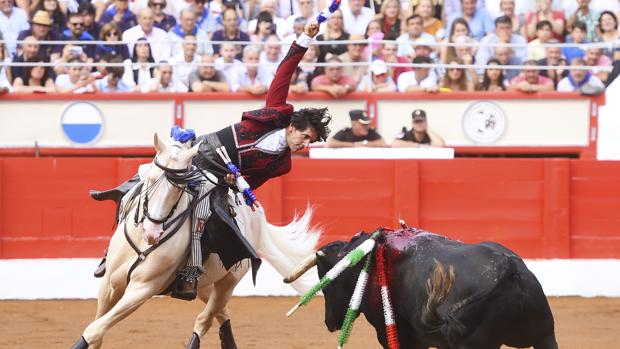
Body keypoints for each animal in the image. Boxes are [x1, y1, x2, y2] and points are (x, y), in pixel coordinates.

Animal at [70, 134, 318, 348]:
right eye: (150, 178)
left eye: (179, 187)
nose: (152, 232)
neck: (143, 244)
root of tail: (259, 218)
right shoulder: (110, 283)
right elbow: (97, 328)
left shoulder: (143, 288)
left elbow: (94, 330)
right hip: (204, 285)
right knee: (221, 313)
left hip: (230, 280)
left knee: (205, 319)